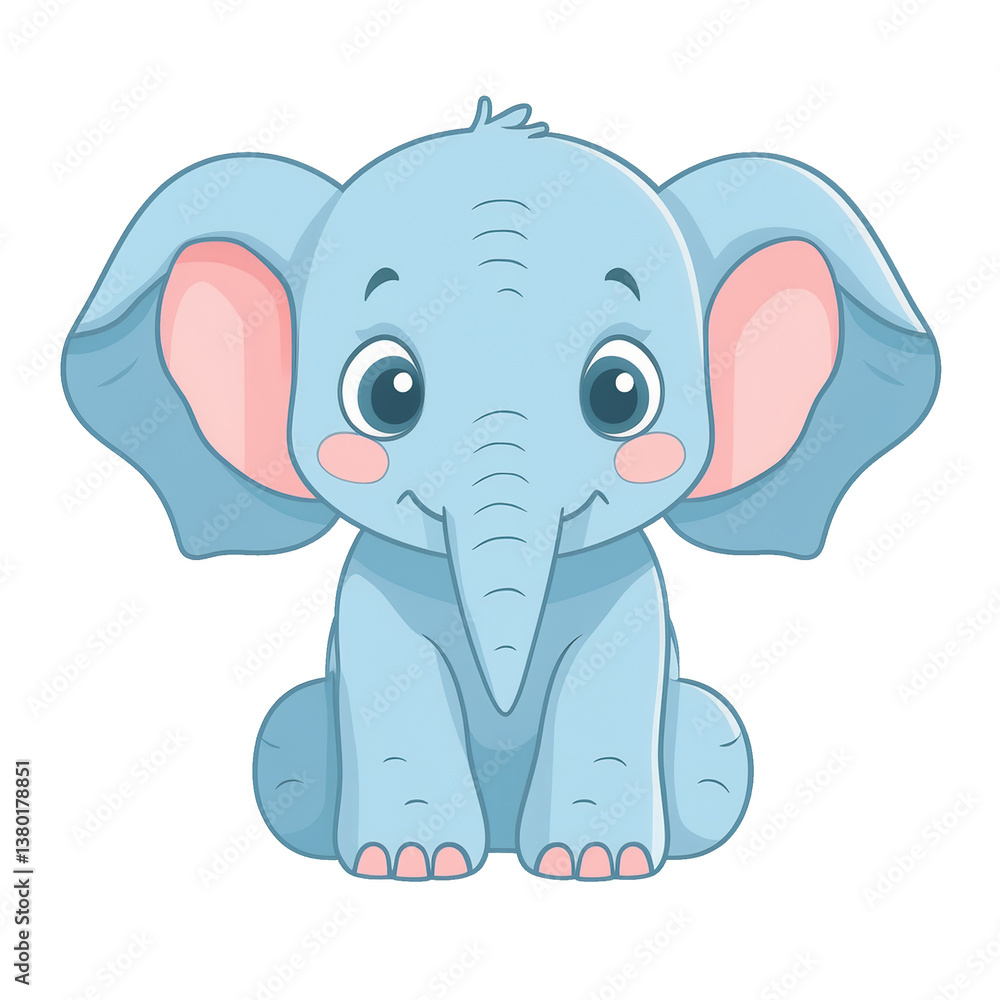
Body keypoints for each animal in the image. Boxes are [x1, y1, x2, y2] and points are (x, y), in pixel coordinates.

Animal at [62, 98, 940, 881]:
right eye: (387, 394)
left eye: (620, 394)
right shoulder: (370, 597)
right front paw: (411, 866)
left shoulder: (633, 598)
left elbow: (609, 681)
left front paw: (598, 868)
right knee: (282, 739)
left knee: (717, 746)